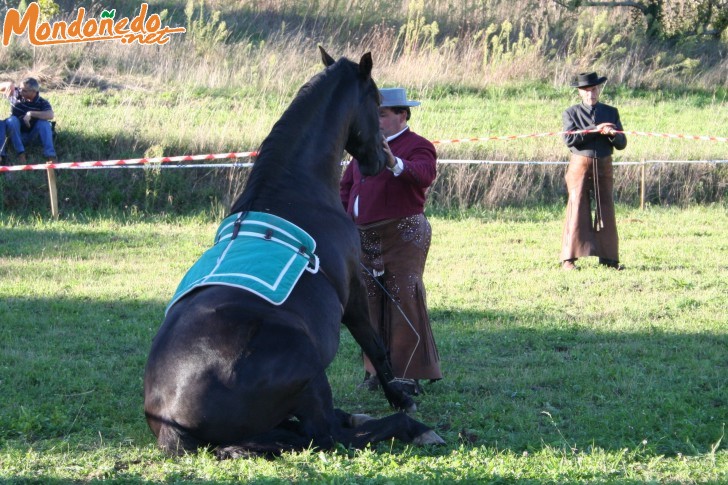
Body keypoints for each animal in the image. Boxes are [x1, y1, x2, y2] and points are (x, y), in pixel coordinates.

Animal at [141, 46, 444, 458]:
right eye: (376, 102)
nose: (380, 160)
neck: (292, 189)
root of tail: (172, 421)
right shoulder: (355, 290)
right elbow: (375, 343)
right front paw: (400, 398)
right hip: (312, 373)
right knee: (328, 434)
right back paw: (413, 428)